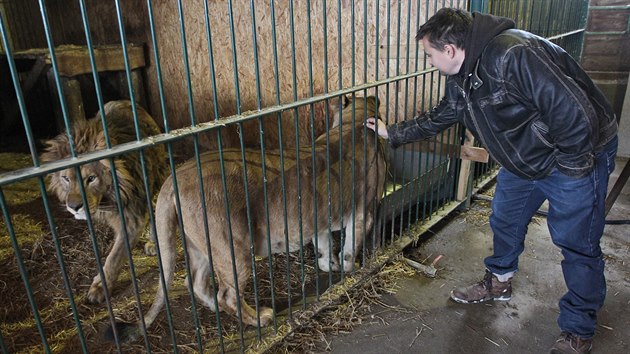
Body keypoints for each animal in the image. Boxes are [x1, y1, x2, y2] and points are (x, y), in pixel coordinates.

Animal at [40, 100, 167, 304]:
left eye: (91, 178)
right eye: (66, 178)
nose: (73, 207)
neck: (111, 195)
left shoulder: (131, 219)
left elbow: (114, 257)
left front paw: (100, 287)